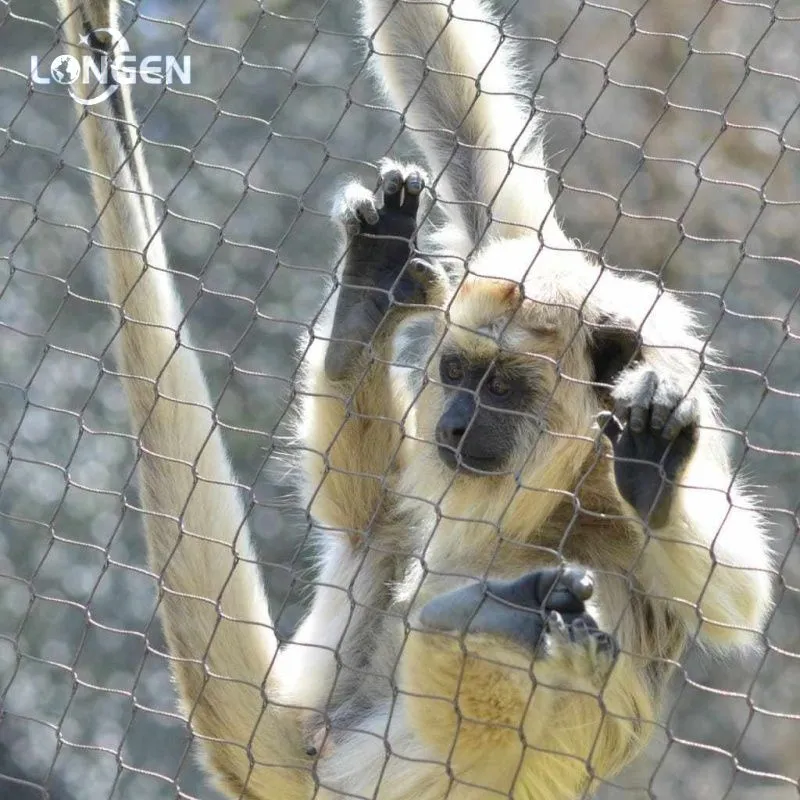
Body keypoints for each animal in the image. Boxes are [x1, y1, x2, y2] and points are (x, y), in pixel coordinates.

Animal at [55, 1, 774, 799]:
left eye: (501, 388)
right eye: (457, 373)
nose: (456, 421)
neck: (558, 488)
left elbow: (733, 599)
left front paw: (652, 473)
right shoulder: (513, 259)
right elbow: (465, 127)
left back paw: (469, 620)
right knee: (374, 523)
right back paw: (364, 316)